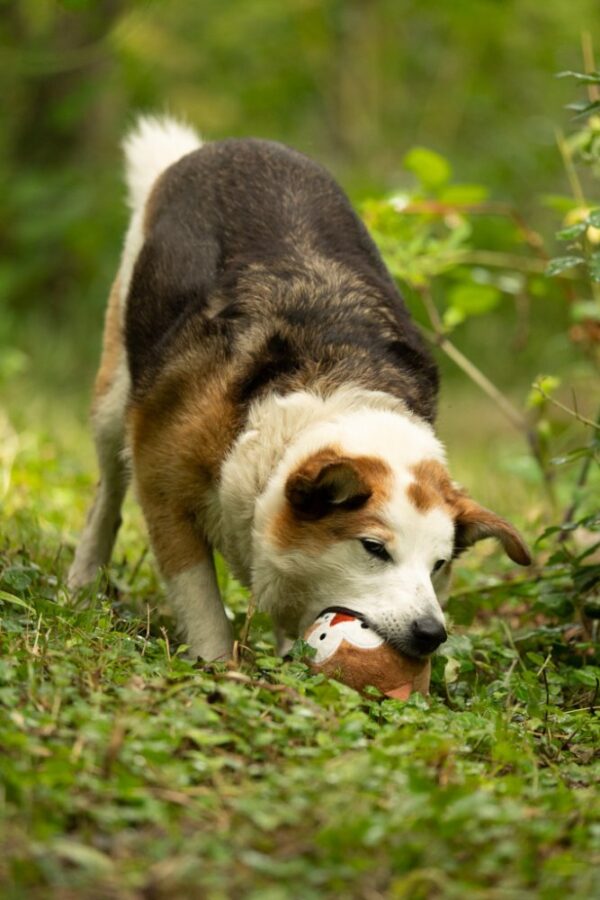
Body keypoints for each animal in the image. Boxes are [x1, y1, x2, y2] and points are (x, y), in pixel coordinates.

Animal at [68, 114, 532, 660]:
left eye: (438, 564)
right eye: (373, 549)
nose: (431, 634)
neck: (331, 384)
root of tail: (225, 148)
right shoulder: (164, 491)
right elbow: (201, 603)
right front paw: (217, 665)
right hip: (115, 395)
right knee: (107, 496)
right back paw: (82, 582)